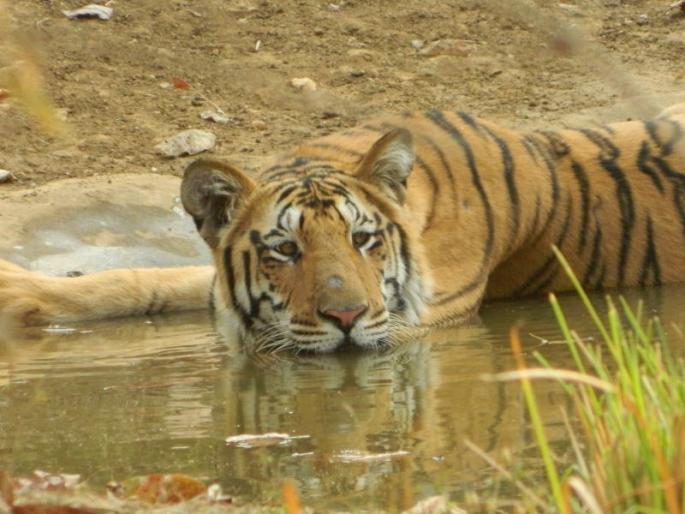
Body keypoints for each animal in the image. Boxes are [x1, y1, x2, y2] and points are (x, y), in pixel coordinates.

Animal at [1, 104, 684, 352]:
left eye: (364, 240)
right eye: (283, 249)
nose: (347, 318)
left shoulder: (419, 319)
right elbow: (143, 280)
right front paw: (18, 292)